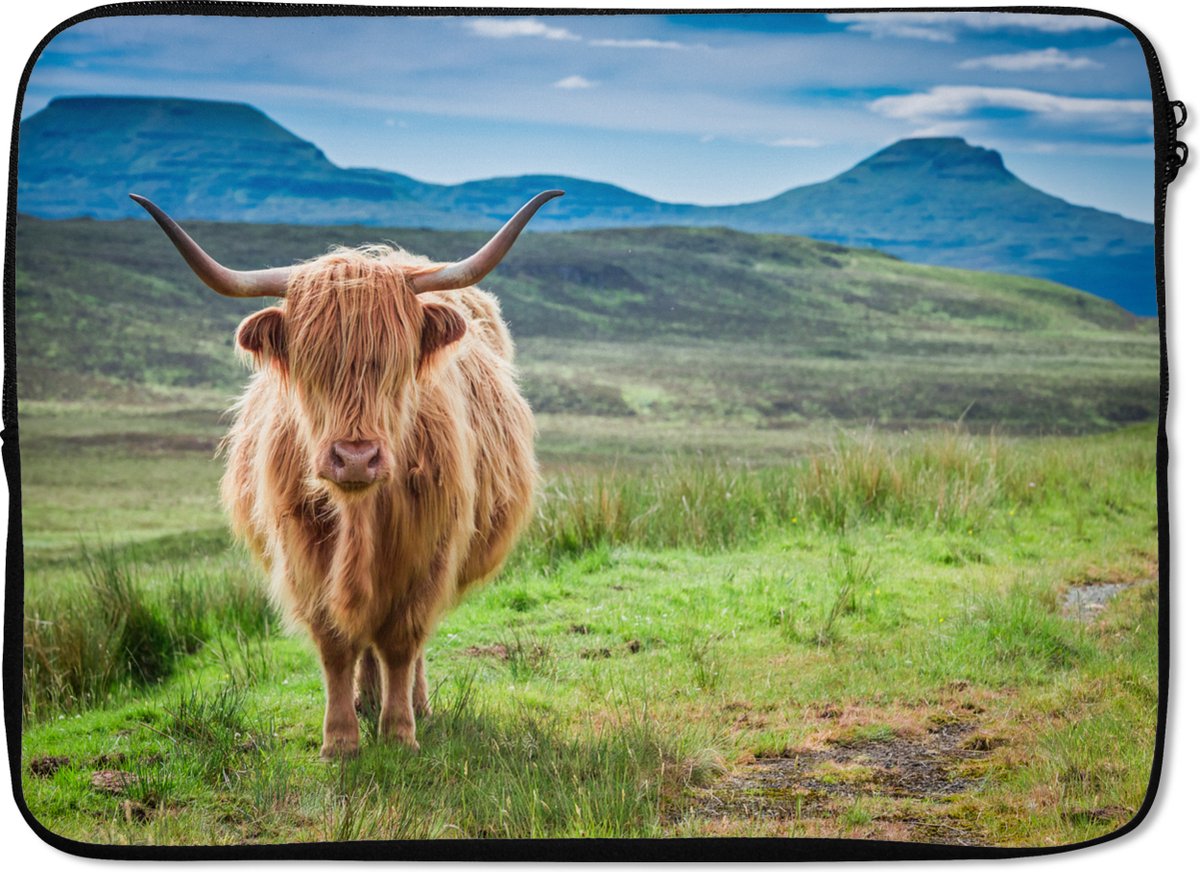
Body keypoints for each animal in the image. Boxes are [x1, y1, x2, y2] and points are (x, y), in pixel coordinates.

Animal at [131, 191, 560, 757]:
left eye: (396, 364)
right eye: (311, 365)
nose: (355, 458)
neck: (361, 514)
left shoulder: (428, 551)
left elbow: (401, 641)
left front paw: (399, 733)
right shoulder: (304, 554)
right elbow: (336, 643)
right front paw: (340, 739)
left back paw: (411, 703)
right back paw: (366, 699)